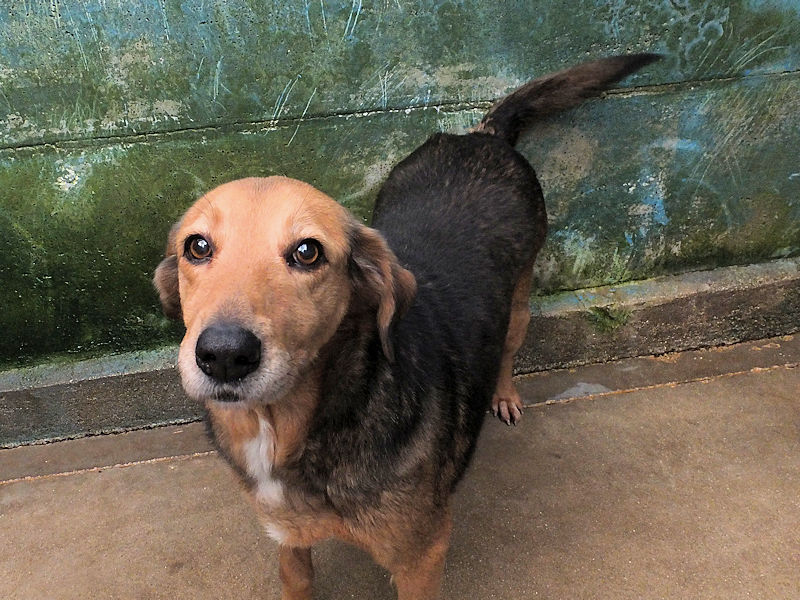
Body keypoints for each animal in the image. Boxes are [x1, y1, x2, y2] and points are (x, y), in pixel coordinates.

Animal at [153, 54, 658, 599]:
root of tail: (481, 136)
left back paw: (503, 395)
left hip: (520, 302)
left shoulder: (421, 557)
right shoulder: (288, 540)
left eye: (308, 252)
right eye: (197, 246)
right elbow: (296, 575)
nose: (224, 355)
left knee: (507, 348)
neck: (298, 424)